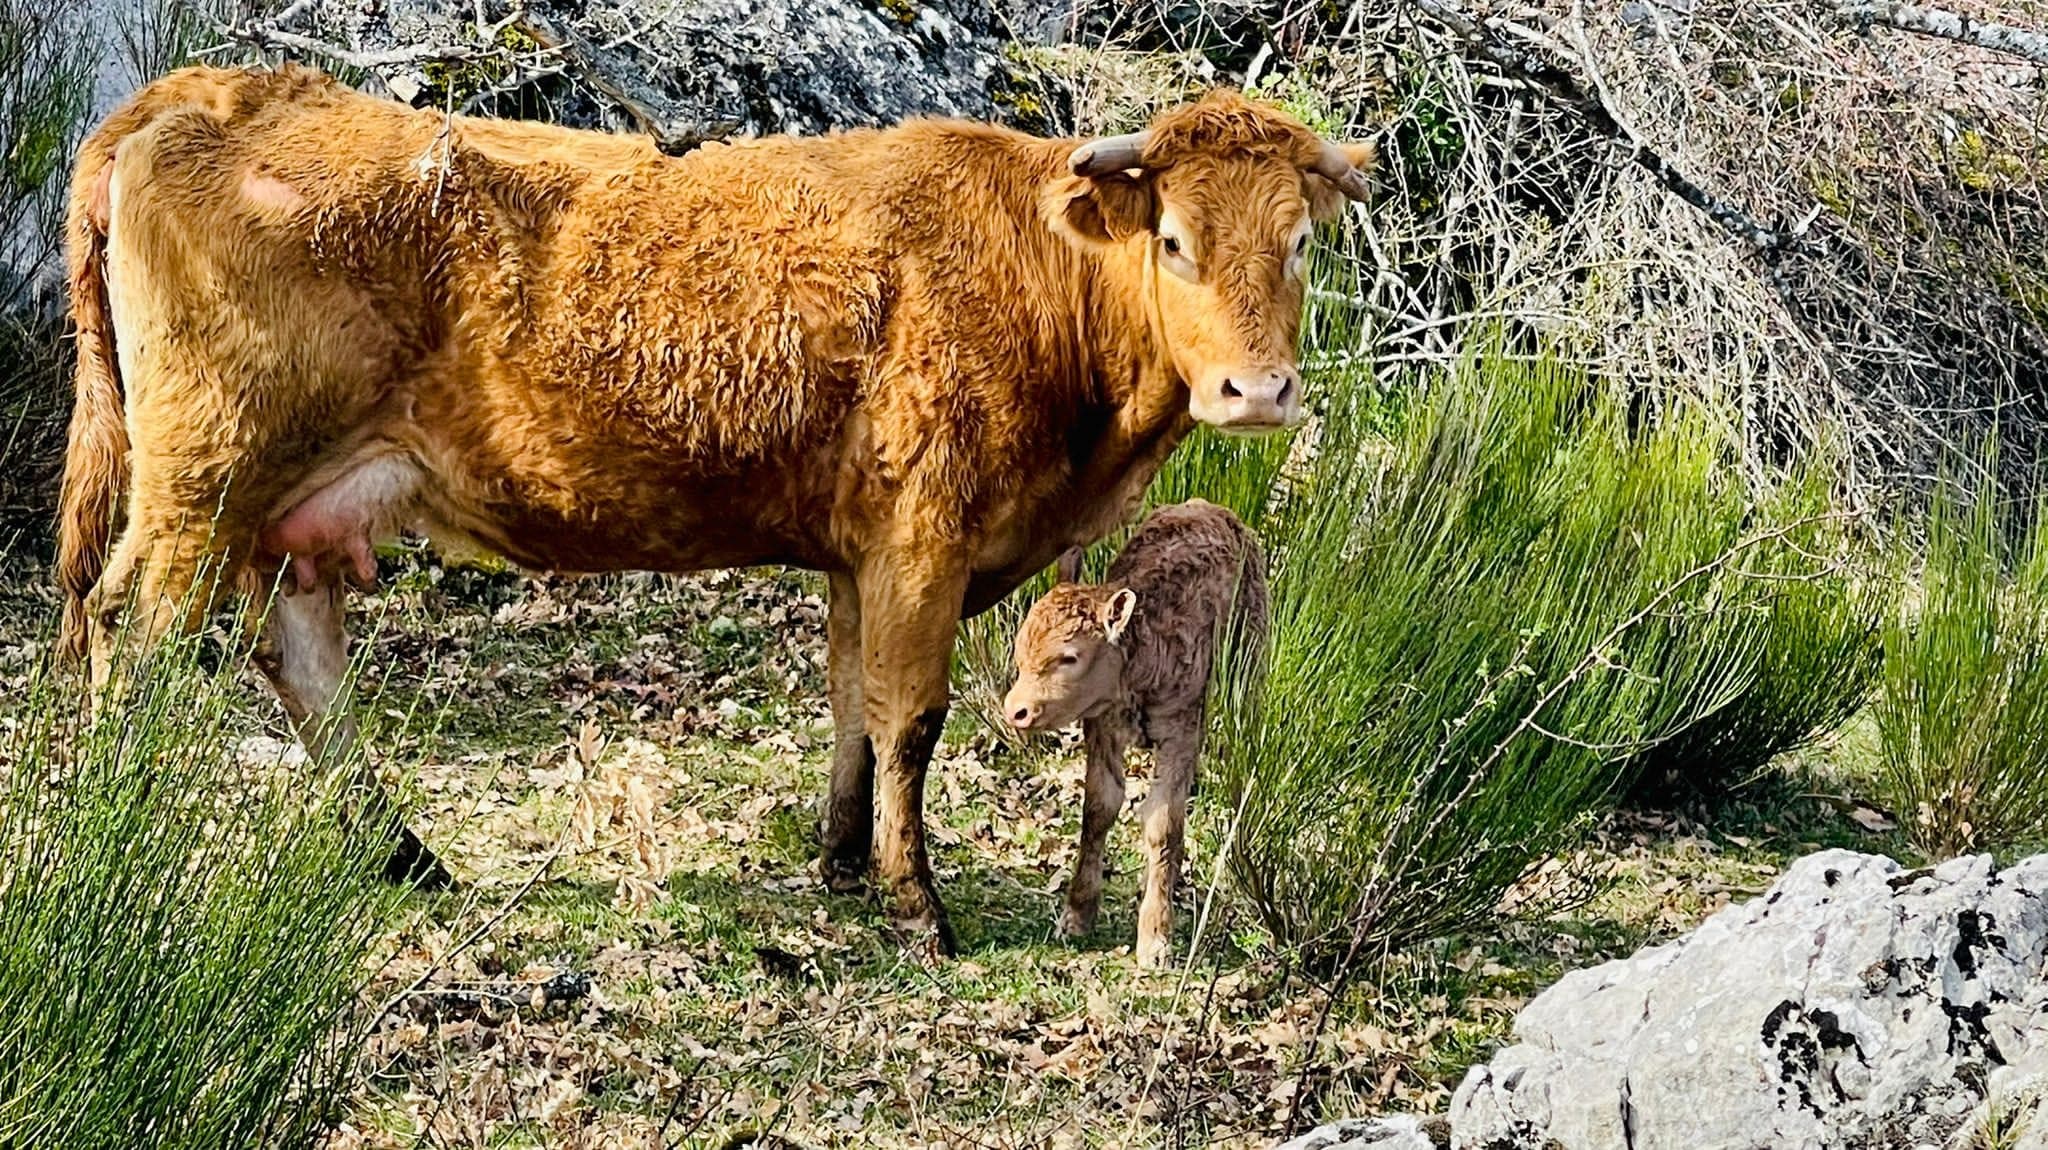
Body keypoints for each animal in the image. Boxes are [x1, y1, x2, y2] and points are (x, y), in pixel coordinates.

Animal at [1003, 497, 1269, 961]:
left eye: (1069, 656)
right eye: (1022, 646)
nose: (1016, 710)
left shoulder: (1180, 734)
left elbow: (1163, 826)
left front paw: (1156, 938)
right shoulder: (1102, 727)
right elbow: (1099, 808)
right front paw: (1077, 915)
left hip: (1250, 664)